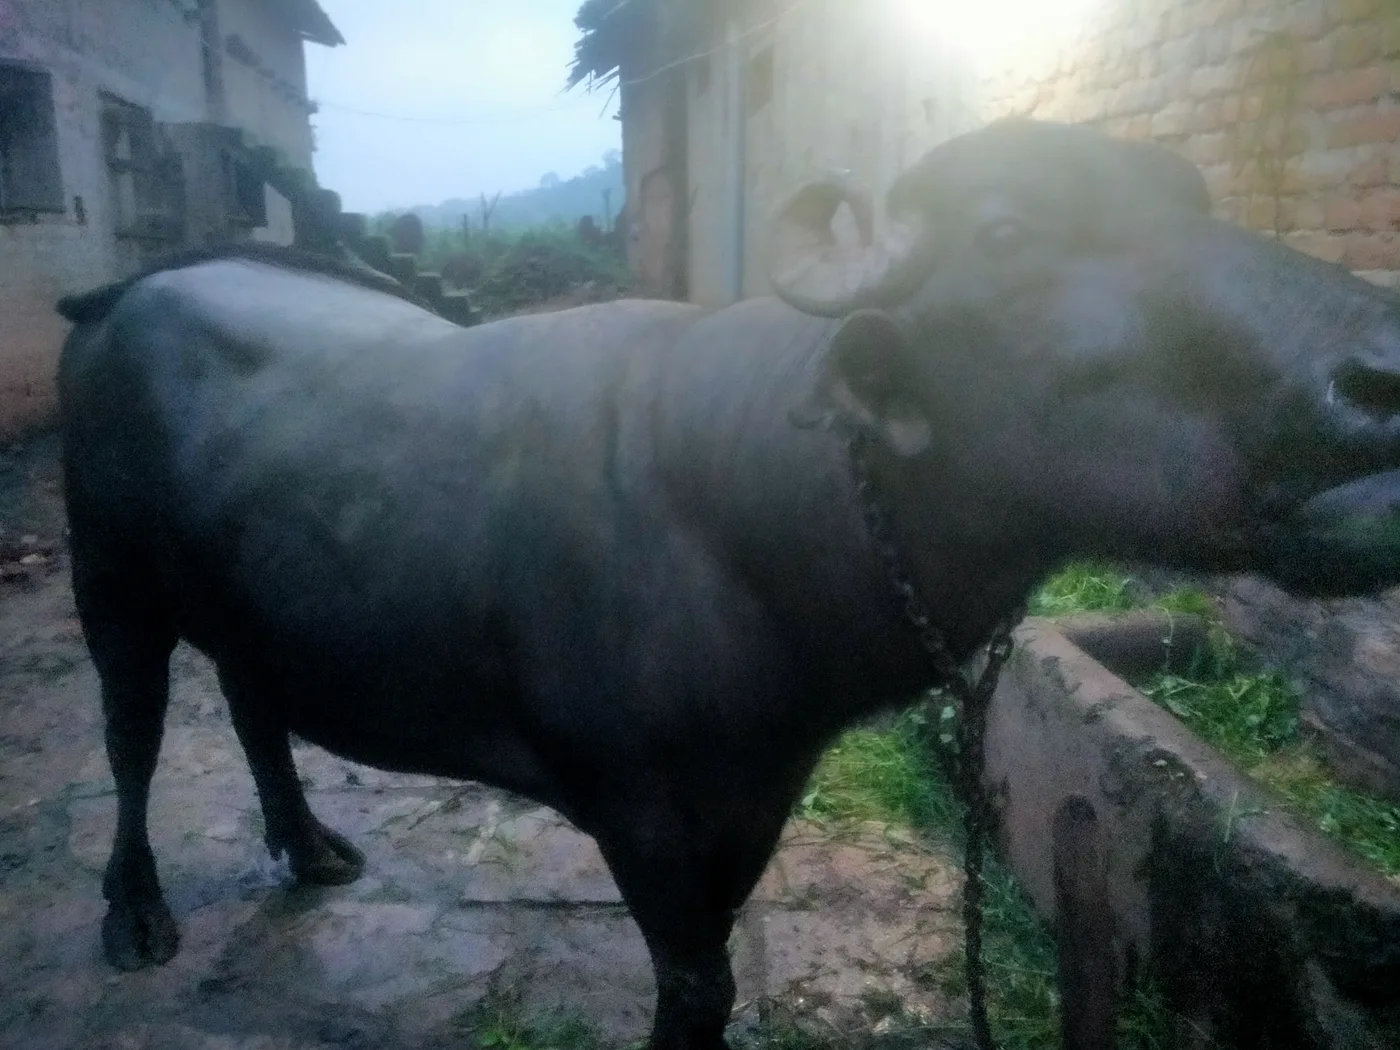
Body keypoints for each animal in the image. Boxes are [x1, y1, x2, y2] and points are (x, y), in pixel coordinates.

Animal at [55, 120, 1400, 1050]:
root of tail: (132, 288)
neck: (738, 515)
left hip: (244, 600)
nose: (1382, 370)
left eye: (1193, 205)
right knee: (131, 738)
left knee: (251, 703)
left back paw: (306, 844)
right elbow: (695, 985)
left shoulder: (760, 791)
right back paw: (133, 915)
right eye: (1007, 237)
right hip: (107, 581)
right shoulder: (633, 805)